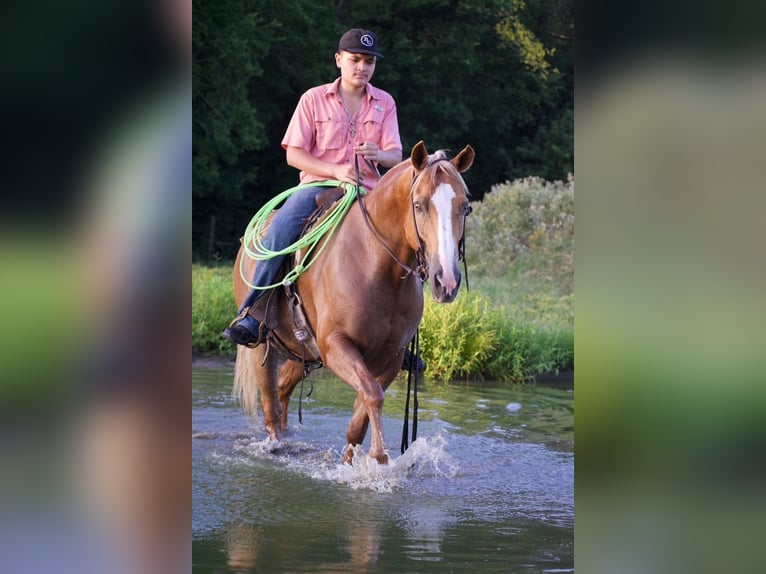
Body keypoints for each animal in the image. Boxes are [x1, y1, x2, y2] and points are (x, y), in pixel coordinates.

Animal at [232, 140, 474, 464]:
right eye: (419, 205)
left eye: (465, 207)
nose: (445, 281)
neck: (376, 264)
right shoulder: (336, 345)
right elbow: (372, 395)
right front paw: (378, 457)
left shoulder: (391, 357)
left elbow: (361, 416)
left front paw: (353, 462)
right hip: (264, 346)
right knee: (270, 404)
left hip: (303, 350)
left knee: (283, 388)